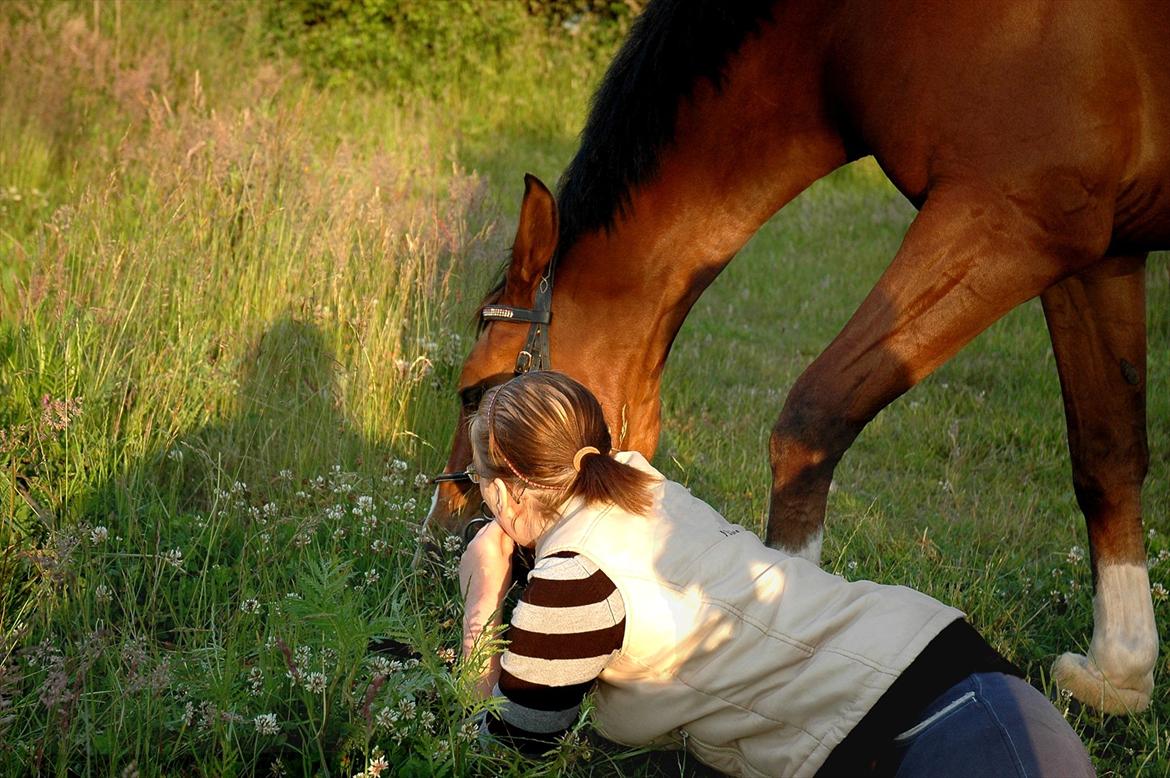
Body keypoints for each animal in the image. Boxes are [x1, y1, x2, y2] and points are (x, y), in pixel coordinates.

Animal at [425, 0, 1165, 711]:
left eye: (472, 392)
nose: (435, 537)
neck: (854, 29)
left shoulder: (1013, 219)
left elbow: (815, 415)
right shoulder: (1097, 254)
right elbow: (1107, 449)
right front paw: (1118, 672)